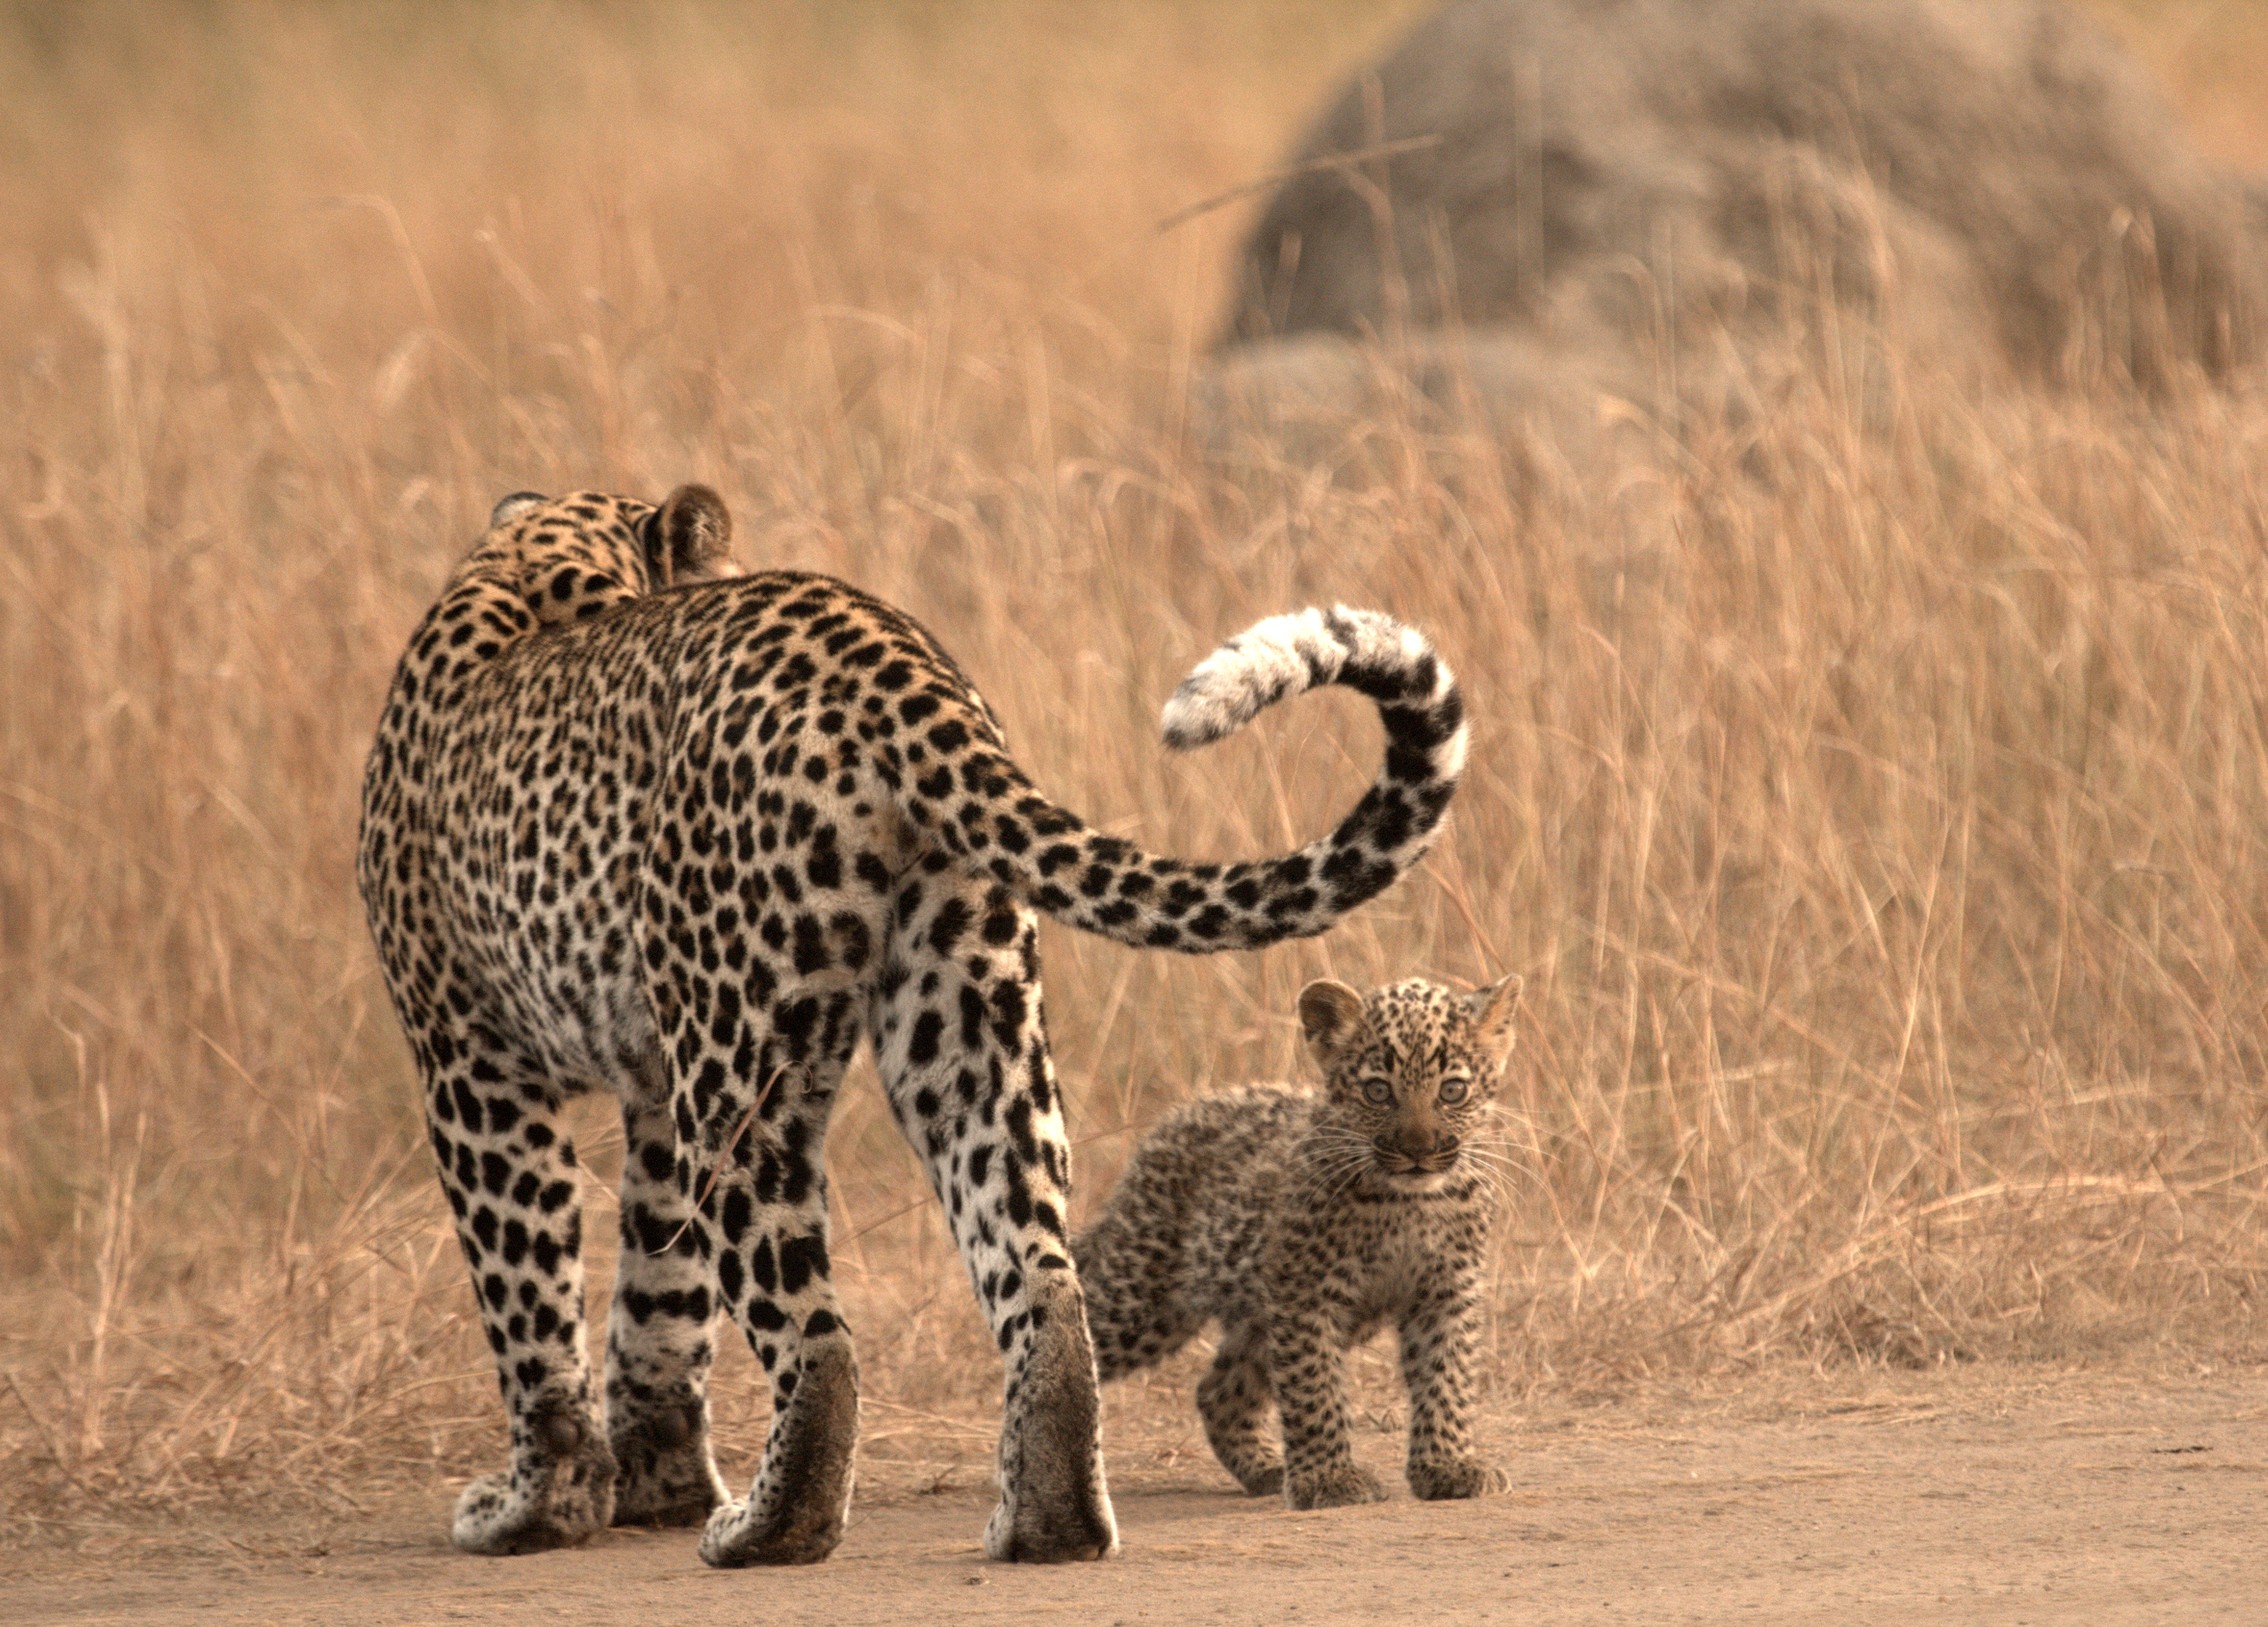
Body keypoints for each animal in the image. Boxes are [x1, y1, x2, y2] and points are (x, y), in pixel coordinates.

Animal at [355, 483, 1469, 1567]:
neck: (539, 566)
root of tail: (888, 660)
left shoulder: (471, 1063)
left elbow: (532, 1303)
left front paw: (539, 1509)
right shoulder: (645, 1088)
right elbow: (659, 1300)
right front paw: (656, 1489)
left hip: (738, 1054)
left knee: (816, 1333)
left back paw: (771, 1529)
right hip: (969, 1007)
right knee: (1043, 1281)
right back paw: (1044, 1523)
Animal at [1073, 974, 1522, 1511]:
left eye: (1453, 1090)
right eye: (1378, 1090)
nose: (1418, 1150)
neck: (1407, 1202)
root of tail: (1173, 1120)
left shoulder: (1446, 1291)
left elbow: (1446, 1376)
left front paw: (1448, 1467)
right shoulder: (1307, 1292)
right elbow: (1313, 1387)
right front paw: (1330, 1479)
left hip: (1260, 1315)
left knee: (1218, 1390)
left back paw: (1267, 1468)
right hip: (1141, 1292)